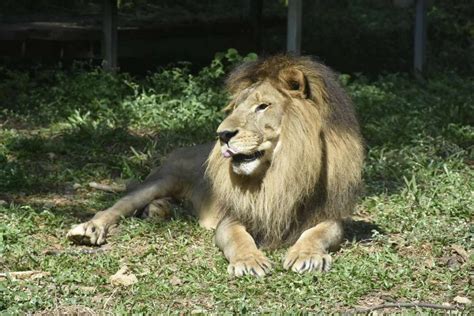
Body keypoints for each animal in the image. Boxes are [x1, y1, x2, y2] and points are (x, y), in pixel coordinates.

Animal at [66, 55, 362, 276]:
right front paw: (249, 261)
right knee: (118, 205)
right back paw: (90, 229)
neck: (281, 171)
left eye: (262, 106)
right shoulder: (232, 217)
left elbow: (318, 234)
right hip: (162, 179)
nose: (222, 135)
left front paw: (307, 255)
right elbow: (238, 238)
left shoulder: (327, 213)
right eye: (234, 108)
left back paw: (160, 210)